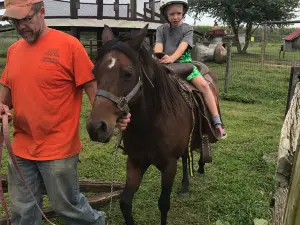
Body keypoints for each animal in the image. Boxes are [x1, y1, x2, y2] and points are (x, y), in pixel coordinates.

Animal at [85, 24, 219, 225]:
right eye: (95, 72)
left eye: (128, 73)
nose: (96, 127)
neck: (150, 123)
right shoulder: (135, 162)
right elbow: (125, 202)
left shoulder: (169, 166)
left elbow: (163, 204)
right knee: (186, 157)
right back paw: (185, 186)